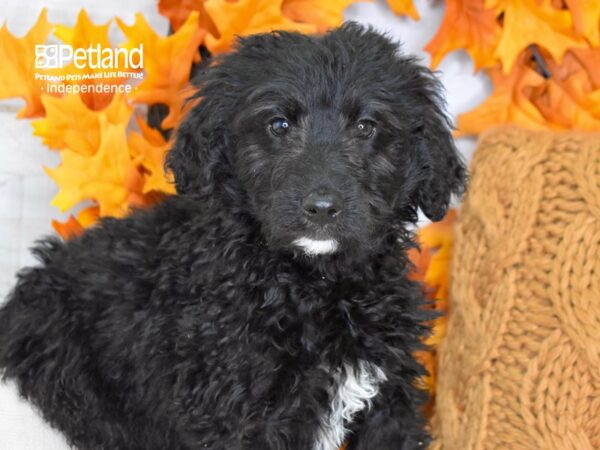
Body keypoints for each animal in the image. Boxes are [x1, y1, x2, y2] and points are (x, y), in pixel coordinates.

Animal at [0, 24, 464, 450]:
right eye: (278, 124)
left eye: (367, 127)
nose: (321, 208)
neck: (314, 285)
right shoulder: (237, 412)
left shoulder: (391, 395)